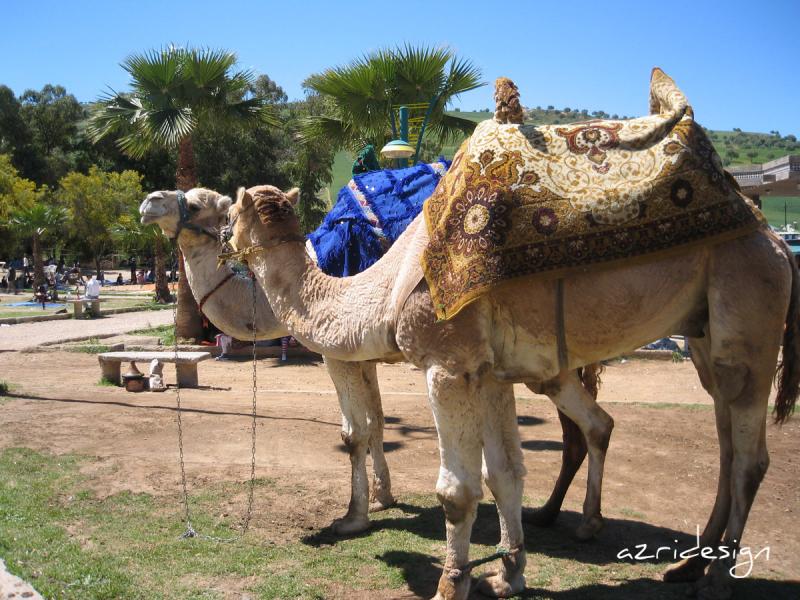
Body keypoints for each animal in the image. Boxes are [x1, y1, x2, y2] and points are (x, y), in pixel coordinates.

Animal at [139, 188, 600, 540]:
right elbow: (377, 422)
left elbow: (354, 431)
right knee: (594, 424)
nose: (149, 202)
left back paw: (563, 517)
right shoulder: (364, 353)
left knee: (579, 432)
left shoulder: (336, 352)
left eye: (194, 202)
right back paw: (562, 515)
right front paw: (384, 496)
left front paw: (359, 511)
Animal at [225, 155, 800, 600]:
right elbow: (504, 474)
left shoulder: (448, 367)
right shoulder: (490, 374)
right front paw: (509, 576)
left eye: (227, 213)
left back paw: (717, 580)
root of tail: (777, 241)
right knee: (723, 441)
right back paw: (686, 565)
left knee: (749, 458)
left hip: (750, 321)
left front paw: (450, 583)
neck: (382, 292)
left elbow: (457, 490)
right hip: (704, 336)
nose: (228, 249)